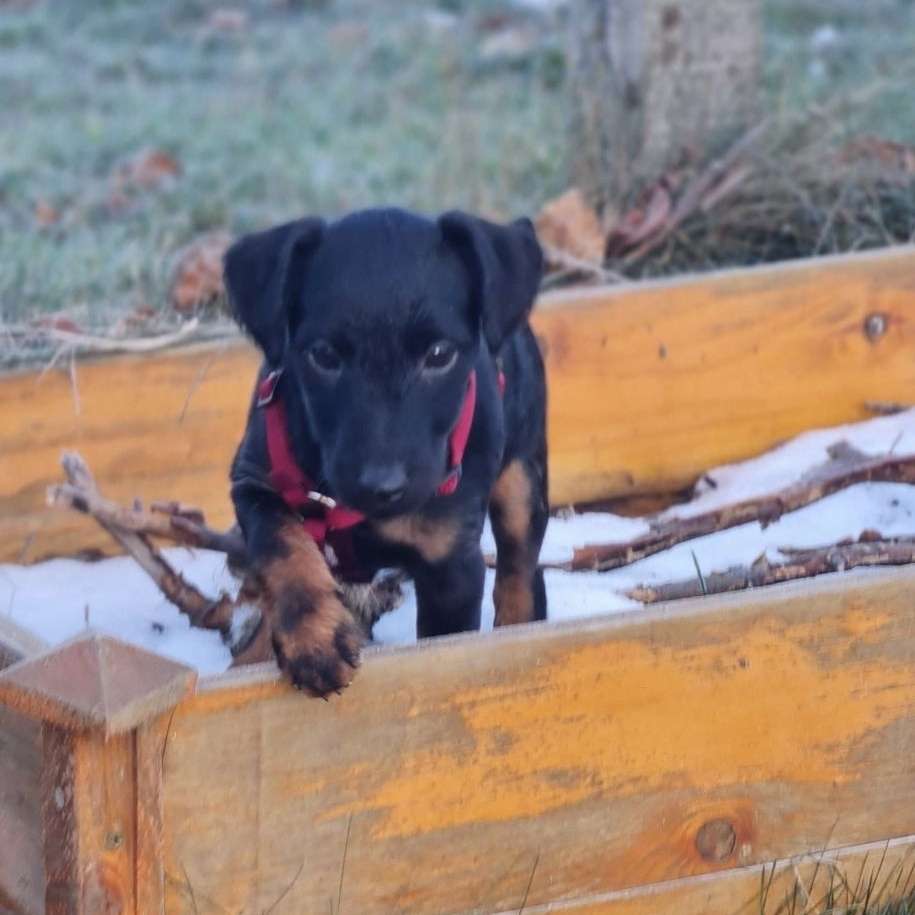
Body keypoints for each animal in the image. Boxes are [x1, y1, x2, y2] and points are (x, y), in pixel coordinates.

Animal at [225, 206, 548, 696]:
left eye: (439, 354)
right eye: (323, 355)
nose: (382, 486)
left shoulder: (452, 566)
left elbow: (443, 646)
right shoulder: (252, 481)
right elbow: (281, 542)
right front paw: (315, 638)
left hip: (523, 474)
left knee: (520, 568)